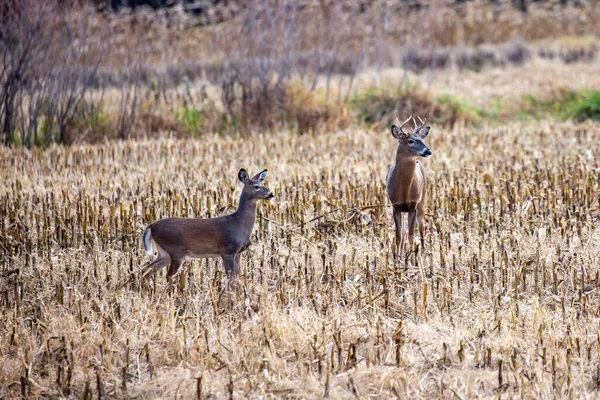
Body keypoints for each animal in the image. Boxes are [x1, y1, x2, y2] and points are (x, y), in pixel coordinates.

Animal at [386, 115, 434, 256]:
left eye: (421, 140)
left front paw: (412, 257)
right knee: (403, 234)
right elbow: (398, 236)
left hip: (422, 201)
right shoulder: (395, 206)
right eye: (411, 141)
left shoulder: (413, 204)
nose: (428, 151)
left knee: (422, 228)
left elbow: (412, 235)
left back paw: (423, 252)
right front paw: (397, 257)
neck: (403, 191)